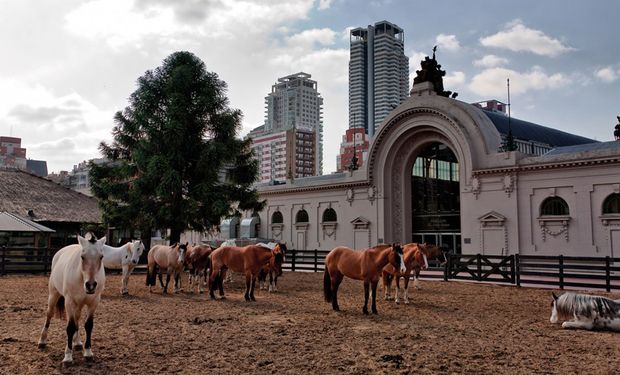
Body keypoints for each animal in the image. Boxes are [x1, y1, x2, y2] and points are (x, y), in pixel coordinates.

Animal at [37, 234, 106, 366]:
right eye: (82, 257)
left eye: (101, 257)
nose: (90, 285)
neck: (82, 277)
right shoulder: (69, 302)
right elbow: (70, 327)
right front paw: (68, 357)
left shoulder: (94, 302)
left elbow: (88, 325)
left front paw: (88, 352)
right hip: (53, 295)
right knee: (49, 315)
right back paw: (42, 341)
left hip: (79, 305)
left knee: (77, 319)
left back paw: (78, 343)